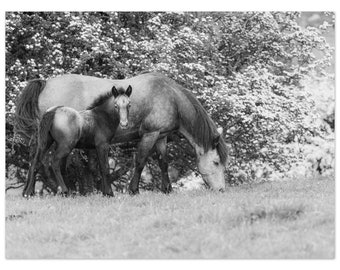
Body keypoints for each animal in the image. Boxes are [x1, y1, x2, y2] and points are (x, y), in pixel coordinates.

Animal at [15, 71, 228, 194]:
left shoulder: (161, 136)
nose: (221, 189)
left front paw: (167, 189)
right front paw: (133, 190)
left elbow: (163, 163)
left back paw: (31, 191)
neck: (170, 97)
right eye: (216, 162)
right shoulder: (150, 134)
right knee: (49, 162)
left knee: (37, 160)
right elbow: (140, 161)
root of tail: (45, 83)